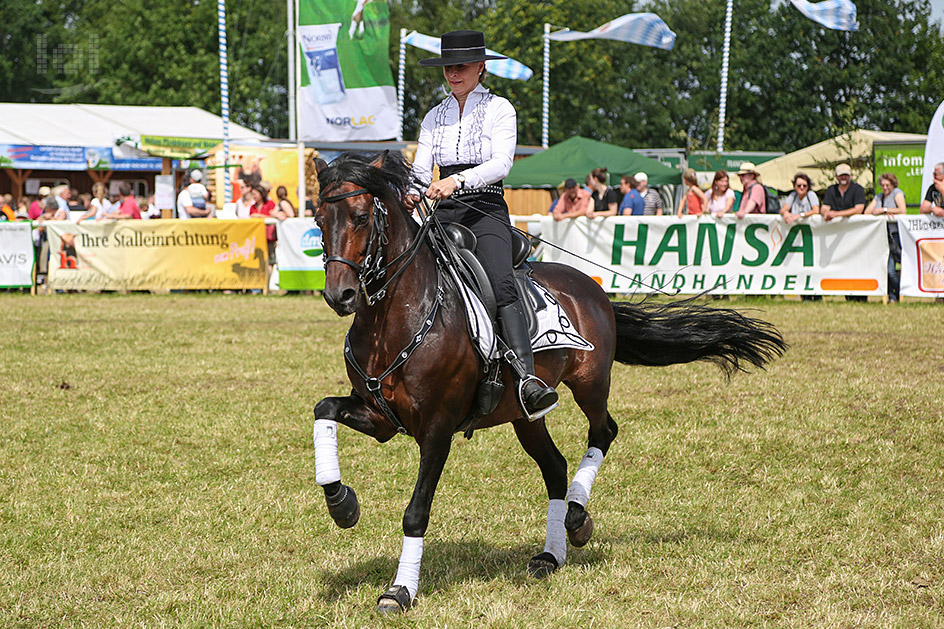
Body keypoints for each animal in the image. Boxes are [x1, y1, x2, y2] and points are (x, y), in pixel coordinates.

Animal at [314, 152, 784, 612]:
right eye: (319, 219)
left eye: (360, 217)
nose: (341, 296)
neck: (399, 315)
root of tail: (590, 287)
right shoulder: (381, 417)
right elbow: (324, 409)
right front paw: (342, 505)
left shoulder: (437, 427)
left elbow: (416, 511)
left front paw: (399, 591)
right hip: (525, 415)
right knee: (555, 467)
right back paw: (552, 553)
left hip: (590, 384)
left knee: (604, 431)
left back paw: (576, 516)